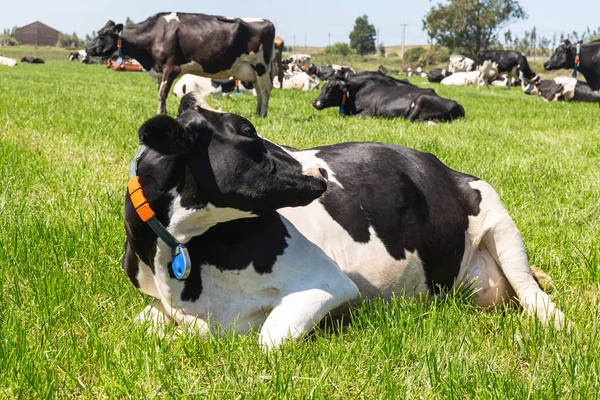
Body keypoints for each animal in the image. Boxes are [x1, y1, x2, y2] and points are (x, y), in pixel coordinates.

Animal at [86, 12, 276, 115]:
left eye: (102, 35)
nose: (88, 50)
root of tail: (268, 22)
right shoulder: (161, 69)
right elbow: (161, 93)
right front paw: (163, 112)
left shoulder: (171, 67)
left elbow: (161, 94)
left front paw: (159, 113)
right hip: (252, 69)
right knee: (259, 90)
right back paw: (257, 113)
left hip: (261, 65)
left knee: (265, 89)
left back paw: (263, 114)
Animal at [123, 92, 568, 348]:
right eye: (247, 130)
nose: (320, 170)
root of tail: (444, 167)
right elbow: (143, 324)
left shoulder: (325, 281)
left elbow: (268, 339)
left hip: (496, 216)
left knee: (531, 292)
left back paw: (554, 320)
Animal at [312, 70, 466, 122]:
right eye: (322, 86)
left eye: (330, 88)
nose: (315, 102)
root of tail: (458, 104)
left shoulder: (369, 112)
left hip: (421, 100)